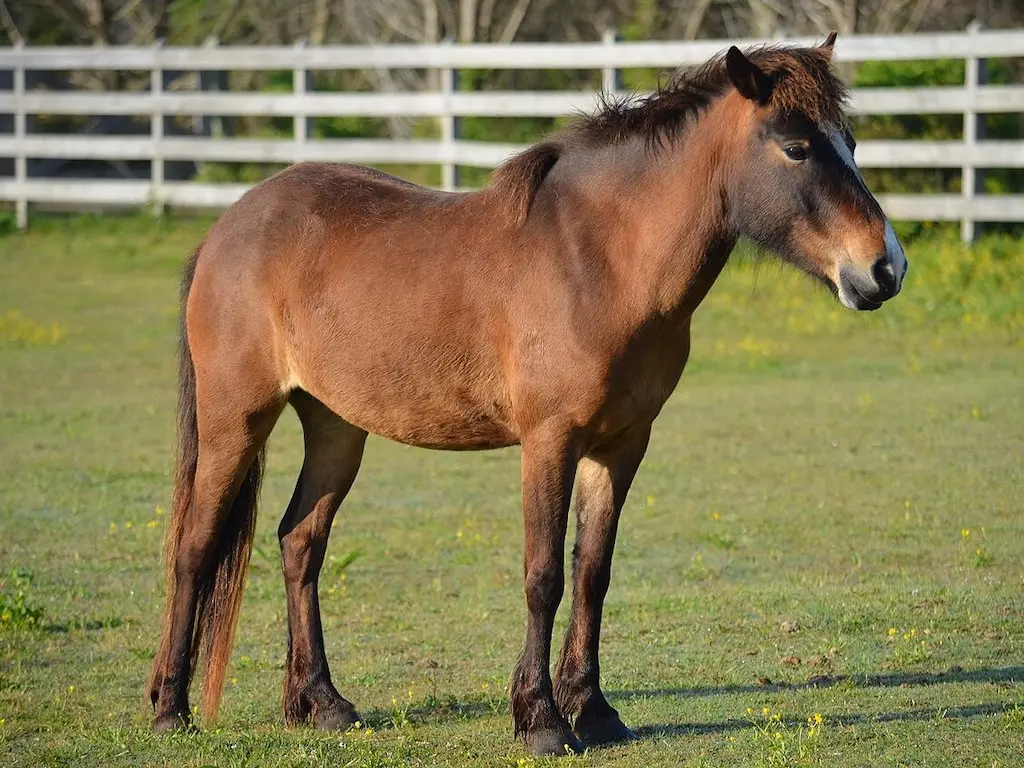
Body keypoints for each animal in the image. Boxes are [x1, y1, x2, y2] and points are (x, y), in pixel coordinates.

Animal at [144, 36, 905, 757]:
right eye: (795, 147)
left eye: (851, 143)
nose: (884, 269)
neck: (600, 261)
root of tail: (225, 231)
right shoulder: (550, 441)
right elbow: (544, 576)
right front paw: (540, 719)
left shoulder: (621, 446)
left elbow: (593, 572)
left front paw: (594, 712)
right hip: (236, 421)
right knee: (195, 547)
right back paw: (170, 709)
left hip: (335, 428)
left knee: (301, 543)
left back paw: (322, 705)